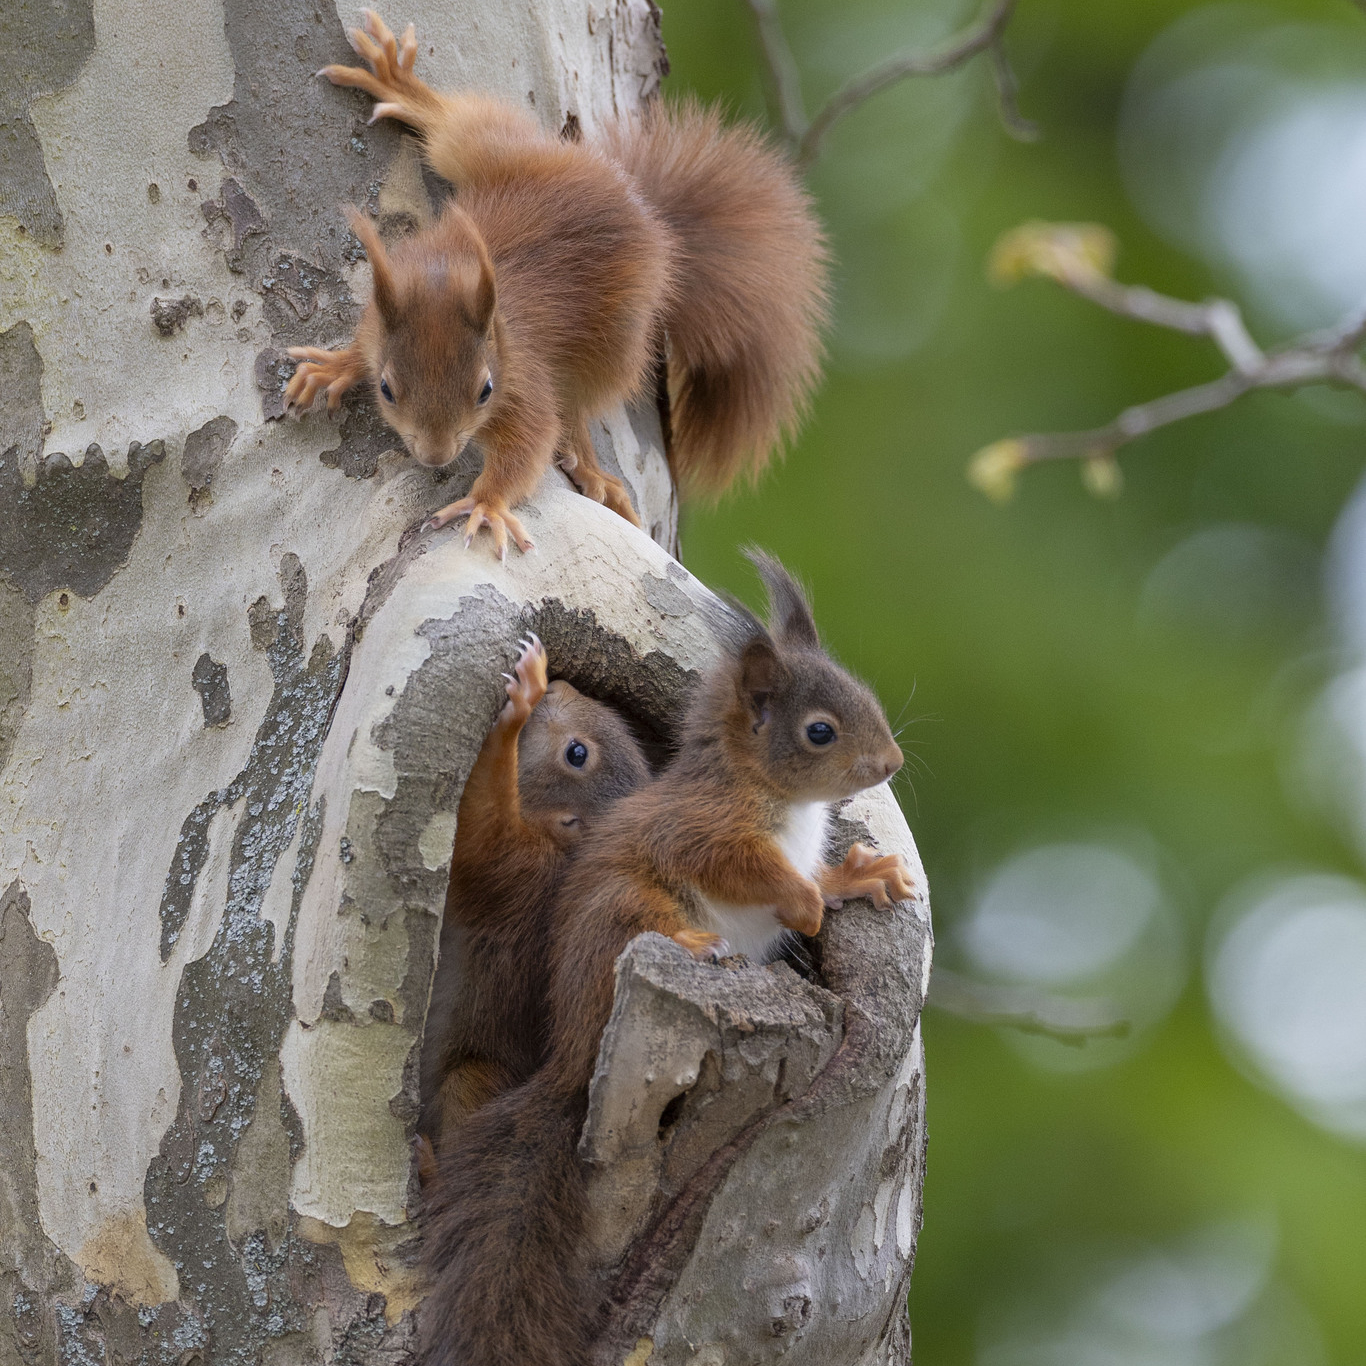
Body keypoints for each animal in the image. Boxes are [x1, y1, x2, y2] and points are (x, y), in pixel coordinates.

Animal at [284, 11, 828, 558]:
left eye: (485, 390)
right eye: (386, 389)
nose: (436, 456)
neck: (452, 279)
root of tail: (643, 209)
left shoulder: (525, 382)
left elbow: (530, 442)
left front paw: (487, 503)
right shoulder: (385, 304)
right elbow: (362, 342)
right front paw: (337, 366)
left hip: (616, 338)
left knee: (580, 404)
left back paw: (591, 468)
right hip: (491, 151)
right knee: (452, 124)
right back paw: (401, 86)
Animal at [418, 633, 649, 1166]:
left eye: (577, 753)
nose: (562, 685)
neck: (560, 851)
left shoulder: (517, 876)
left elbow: (480, 826)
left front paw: (524, 695)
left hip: (471, 1081)